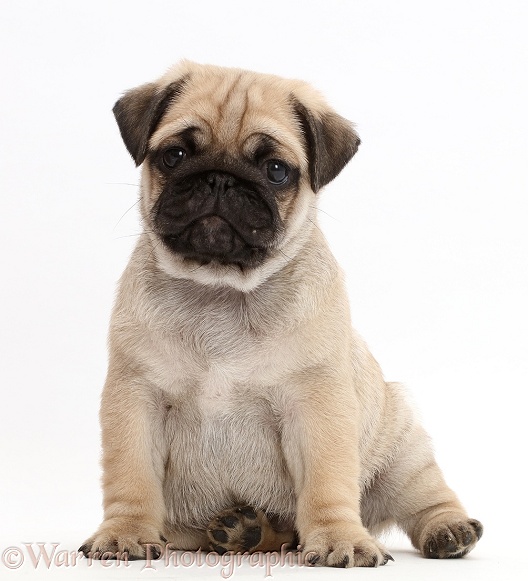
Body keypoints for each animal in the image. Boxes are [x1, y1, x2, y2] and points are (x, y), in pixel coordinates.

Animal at [79, 61, 482, 564]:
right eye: (174, 155)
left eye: (275, 171)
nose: (219, 179)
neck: (222, 289)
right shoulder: (136, 400)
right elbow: (131, 477)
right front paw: (126, 532)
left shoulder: (316, 406)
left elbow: (327, 483)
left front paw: (339, 538)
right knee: (279, 531)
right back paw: (244, 531)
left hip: (401, 447)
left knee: (424, 494)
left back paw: (448, 529)